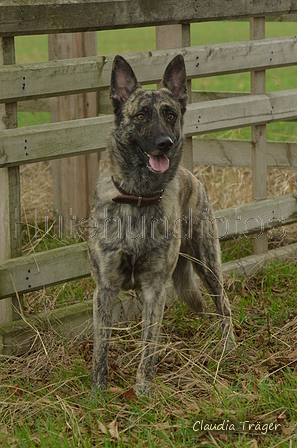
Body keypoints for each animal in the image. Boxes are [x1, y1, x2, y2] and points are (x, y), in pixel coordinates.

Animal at [87, 55, 234, 396]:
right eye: (140, 116)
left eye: (171, 115)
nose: (164, 144)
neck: (138, 197)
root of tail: (191, 175)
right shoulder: (106, 287)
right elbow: (102, 343)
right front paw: (99, 390)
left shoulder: (155, 287)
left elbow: (148, 344)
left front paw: (143, 388)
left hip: (208, 265)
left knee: (224, 306)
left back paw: (229, 349)